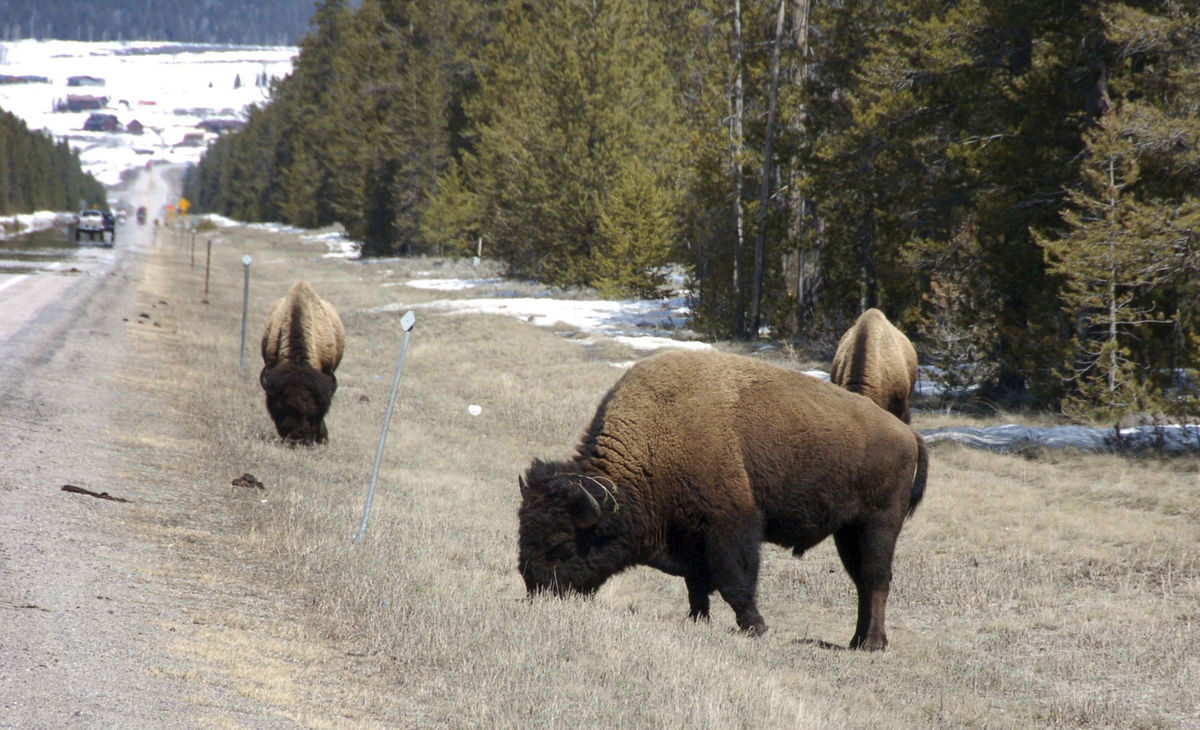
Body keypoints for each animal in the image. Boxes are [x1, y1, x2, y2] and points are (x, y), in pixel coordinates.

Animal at [516, 348, 926, 648]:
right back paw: (857, 640)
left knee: (876, 579)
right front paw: (697, 620)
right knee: (862, 582)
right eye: (524, 534)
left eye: (562, 543)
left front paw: (756, 628)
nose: (536, 589)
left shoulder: (730, 525)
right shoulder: (689, 539)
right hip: (848, 532)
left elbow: (734, 580)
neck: (655, 442)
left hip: (878, 524)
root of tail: (907, 434)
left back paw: (872, 644)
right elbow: (697, 586)